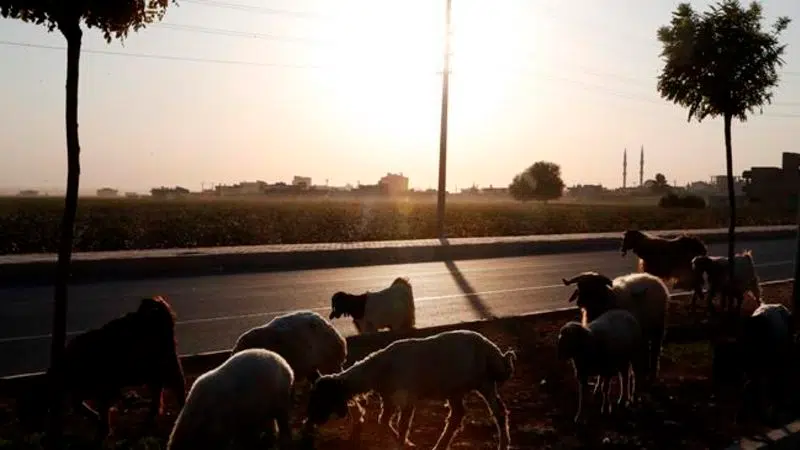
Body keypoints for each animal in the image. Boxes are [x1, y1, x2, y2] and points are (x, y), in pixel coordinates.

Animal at [33, 296, 186, 439]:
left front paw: (103, 428)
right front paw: (99, 420)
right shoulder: (88, 390)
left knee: (177, 384)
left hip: (166, 363)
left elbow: (101, 407)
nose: (39, 431)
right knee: (158, 390)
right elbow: (79, 405)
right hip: (153, 370)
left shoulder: (105, 388)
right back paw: (151, 414)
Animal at [302, 329, 516, 450]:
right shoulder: (388, 399)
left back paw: (503, 444)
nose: (310, 420)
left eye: (321, 398)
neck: (379, 369)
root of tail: (492, 350)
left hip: (484, 382)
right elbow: (383, 421)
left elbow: (403, 425)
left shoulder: (407, 398)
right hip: (455, 388)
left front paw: (402, 442)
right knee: (459, 415)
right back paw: (440, 445)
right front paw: (405, 442)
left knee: (498, 412)